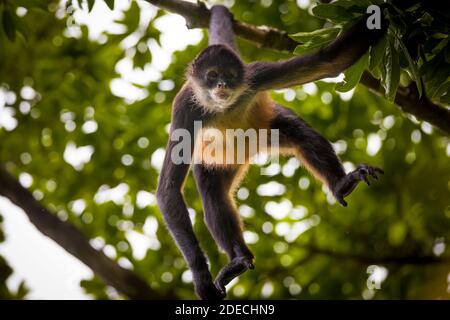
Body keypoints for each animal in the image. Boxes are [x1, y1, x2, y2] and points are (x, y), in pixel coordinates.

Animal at [156, 5, 384, 300]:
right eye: (212, 75)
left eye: (230, 76)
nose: (222, 86)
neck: (222, 107)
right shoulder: (185, 108)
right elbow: (168, 190)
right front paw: (201, 278)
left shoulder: (256, 74)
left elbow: (328, 62)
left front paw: (384, 17)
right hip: (218, 161)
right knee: (212, 192)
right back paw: (239, 259)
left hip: (265, 130)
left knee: (297, 131)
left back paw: (342, 184)